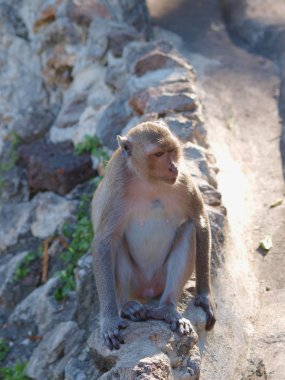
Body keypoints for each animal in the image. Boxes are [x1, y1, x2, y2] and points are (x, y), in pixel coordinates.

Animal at [91, 121, 215, 350]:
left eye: (172, 151)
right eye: (158, 154)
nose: (173, 167)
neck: (149, 181)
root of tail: (148, 291)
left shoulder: (183, 180)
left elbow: (200, 221)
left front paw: (204, 296)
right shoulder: (117, 186)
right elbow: (104, 242)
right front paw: (110, 320)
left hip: (160, 280)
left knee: (188, 230)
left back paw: (167, 308)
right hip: (135, 283)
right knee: (116, 242)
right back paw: (127, 306)